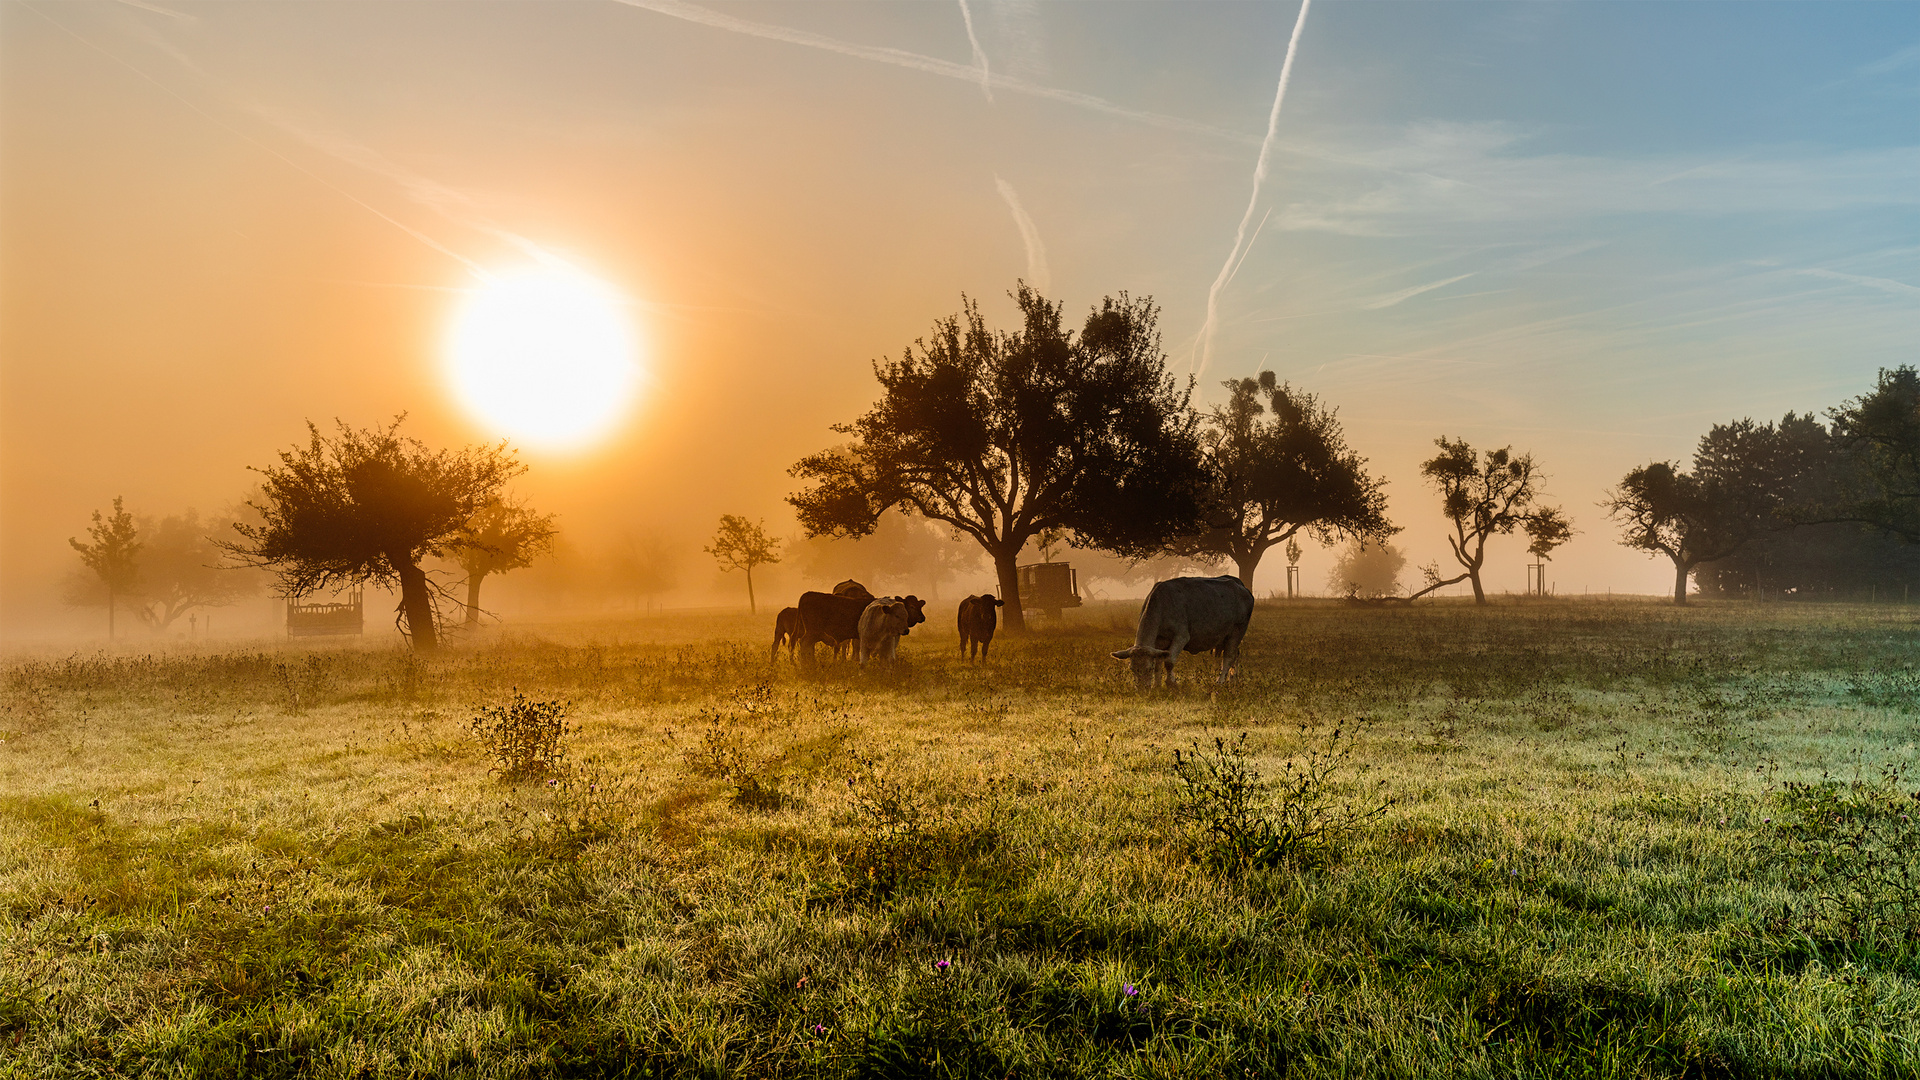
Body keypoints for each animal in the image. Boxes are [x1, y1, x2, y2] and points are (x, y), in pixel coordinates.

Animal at [1113, 576, 1259, 684]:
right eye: (1132, 669)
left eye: (1148, 669)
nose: (1142, 689)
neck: (1163, 603)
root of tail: (1241, 586)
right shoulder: (1159, 643)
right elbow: (1159, 662)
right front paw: (1157, 685)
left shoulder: (1181, 637)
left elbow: (1169, 662)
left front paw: (1171, 683)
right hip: (1227, 637)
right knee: (1236, 655)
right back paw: (1233, 680)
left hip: (1237, 631)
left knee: (1229, 656)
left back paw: (1220, 681)